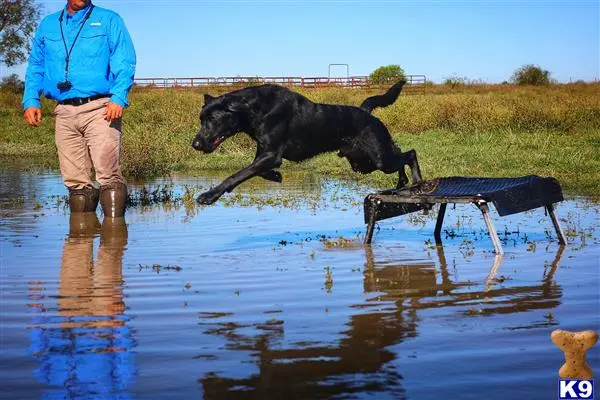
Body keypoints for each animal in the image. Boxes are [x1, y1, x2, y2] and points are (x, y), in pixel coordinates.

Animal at [192, 80, 422, 205]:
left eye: (211, 119)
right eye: (201, 119)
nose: (195, 144)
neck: (254, 109)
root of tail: (366, 112)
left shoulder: (271, 155)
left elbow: (236, 175)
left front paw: (209, 195)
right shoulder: (265, 155)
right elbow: (257, 171)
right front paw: (276, 176)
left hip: (378, 158)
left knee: (410, 153)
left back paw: (416, 182)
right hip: (363, 162)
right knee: (400, 153)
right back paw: (402, 182)